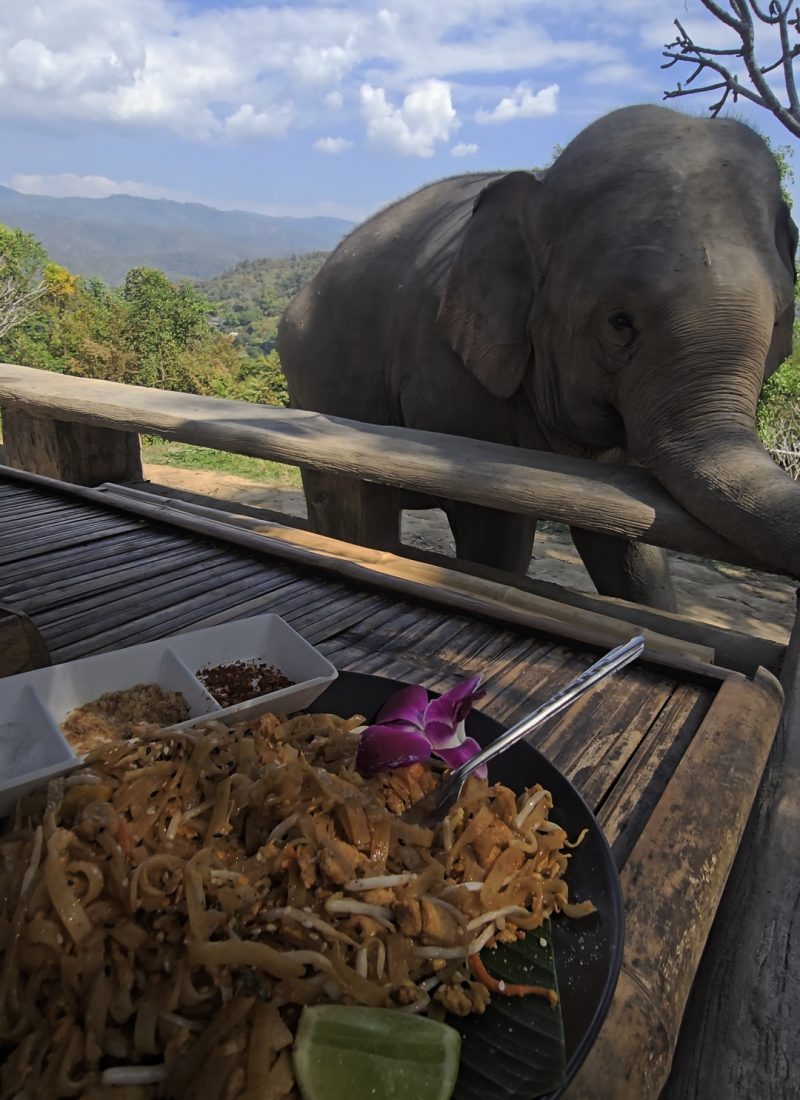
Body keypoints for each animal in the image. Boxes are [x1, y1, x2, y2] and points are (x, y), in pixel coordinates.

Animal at [278, 104, 798, 612]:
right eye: (619, 322)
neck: (541, 182)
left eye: (777, 324)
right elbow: (494, 523)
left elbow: (626, 536)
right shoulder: (448, 375)